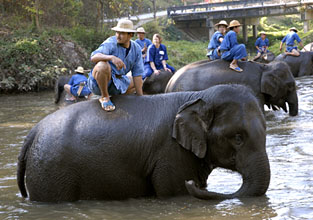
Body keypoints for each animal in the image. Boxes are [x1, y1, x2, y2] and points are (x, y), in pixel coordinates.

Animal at [17, 84, 270, 203]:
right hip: (51, 174)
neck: (197, 96)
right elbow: (174, 191)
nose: (192, 183)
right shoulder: (170, 153)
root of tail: (33, 132)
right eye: (238, 138)